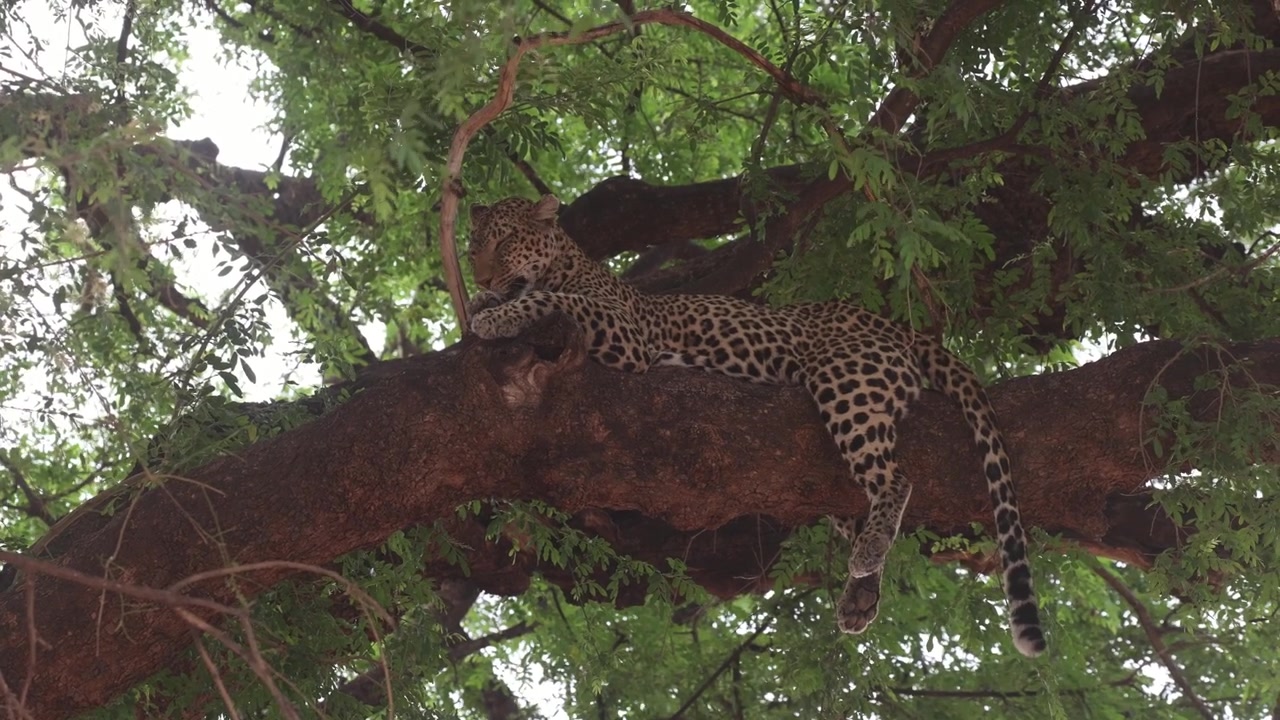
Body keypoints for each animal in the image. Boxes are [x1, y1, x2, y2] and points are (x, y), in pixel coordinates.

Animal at [465, 194, 1046, 657]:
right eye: (472, 246)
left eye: (507, 240)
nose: (482, 276)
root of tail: (896, 326)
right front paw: (483, 300)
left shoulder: (625, 334)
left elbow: (549, 298)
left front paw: (492, 314)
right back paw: (860, 592)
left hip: (845, 380)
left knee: (897, 480)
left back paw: (869, 551)